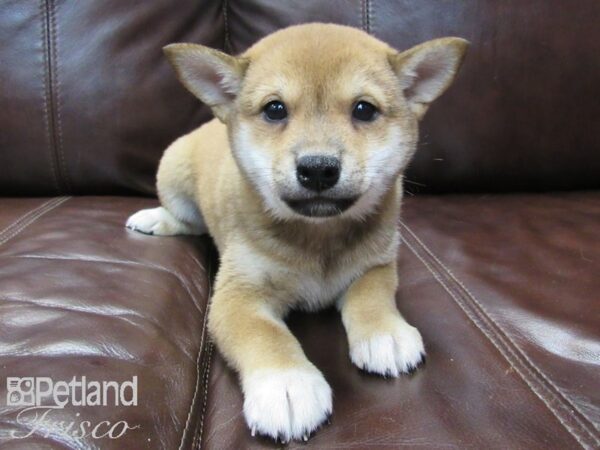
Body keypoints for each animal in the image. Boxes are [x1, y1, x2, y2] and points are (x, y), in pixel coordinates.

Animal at [125, 22, 464, 442]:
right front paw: (286, 385)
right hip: (173, 173)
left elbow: (372, 296)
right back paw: (156, 219)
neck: (319, 236)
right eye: (275, 109)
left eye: (364, 109)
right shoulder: (238, 296)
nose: (318, 168)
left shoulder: (377, 265)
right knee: (186, 218)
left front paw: (385, 332)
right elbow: (266, 335)